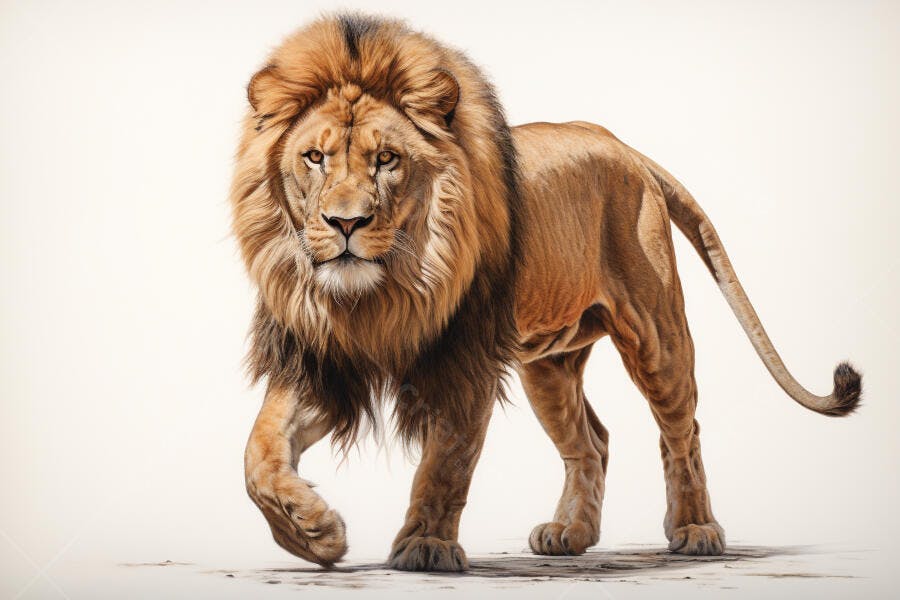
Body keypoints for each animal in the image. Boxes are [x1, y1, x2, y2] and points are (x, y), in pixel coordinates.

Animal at [230, 14, 861, 571]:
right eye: (315, 158)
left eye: (387, 160)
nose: (346, 223)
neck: (380, 296)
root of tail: (626, 147)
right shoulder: (321, 359)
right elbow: (258, 453)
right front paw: (314, 532)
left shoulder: (466, 363)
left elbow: (446, 462)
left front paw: (425, 547)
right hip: (549, 364)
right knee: (592, 441)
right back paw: (569, 533)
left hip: (657, 337)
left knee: (682, 432)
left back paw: (696, 530)